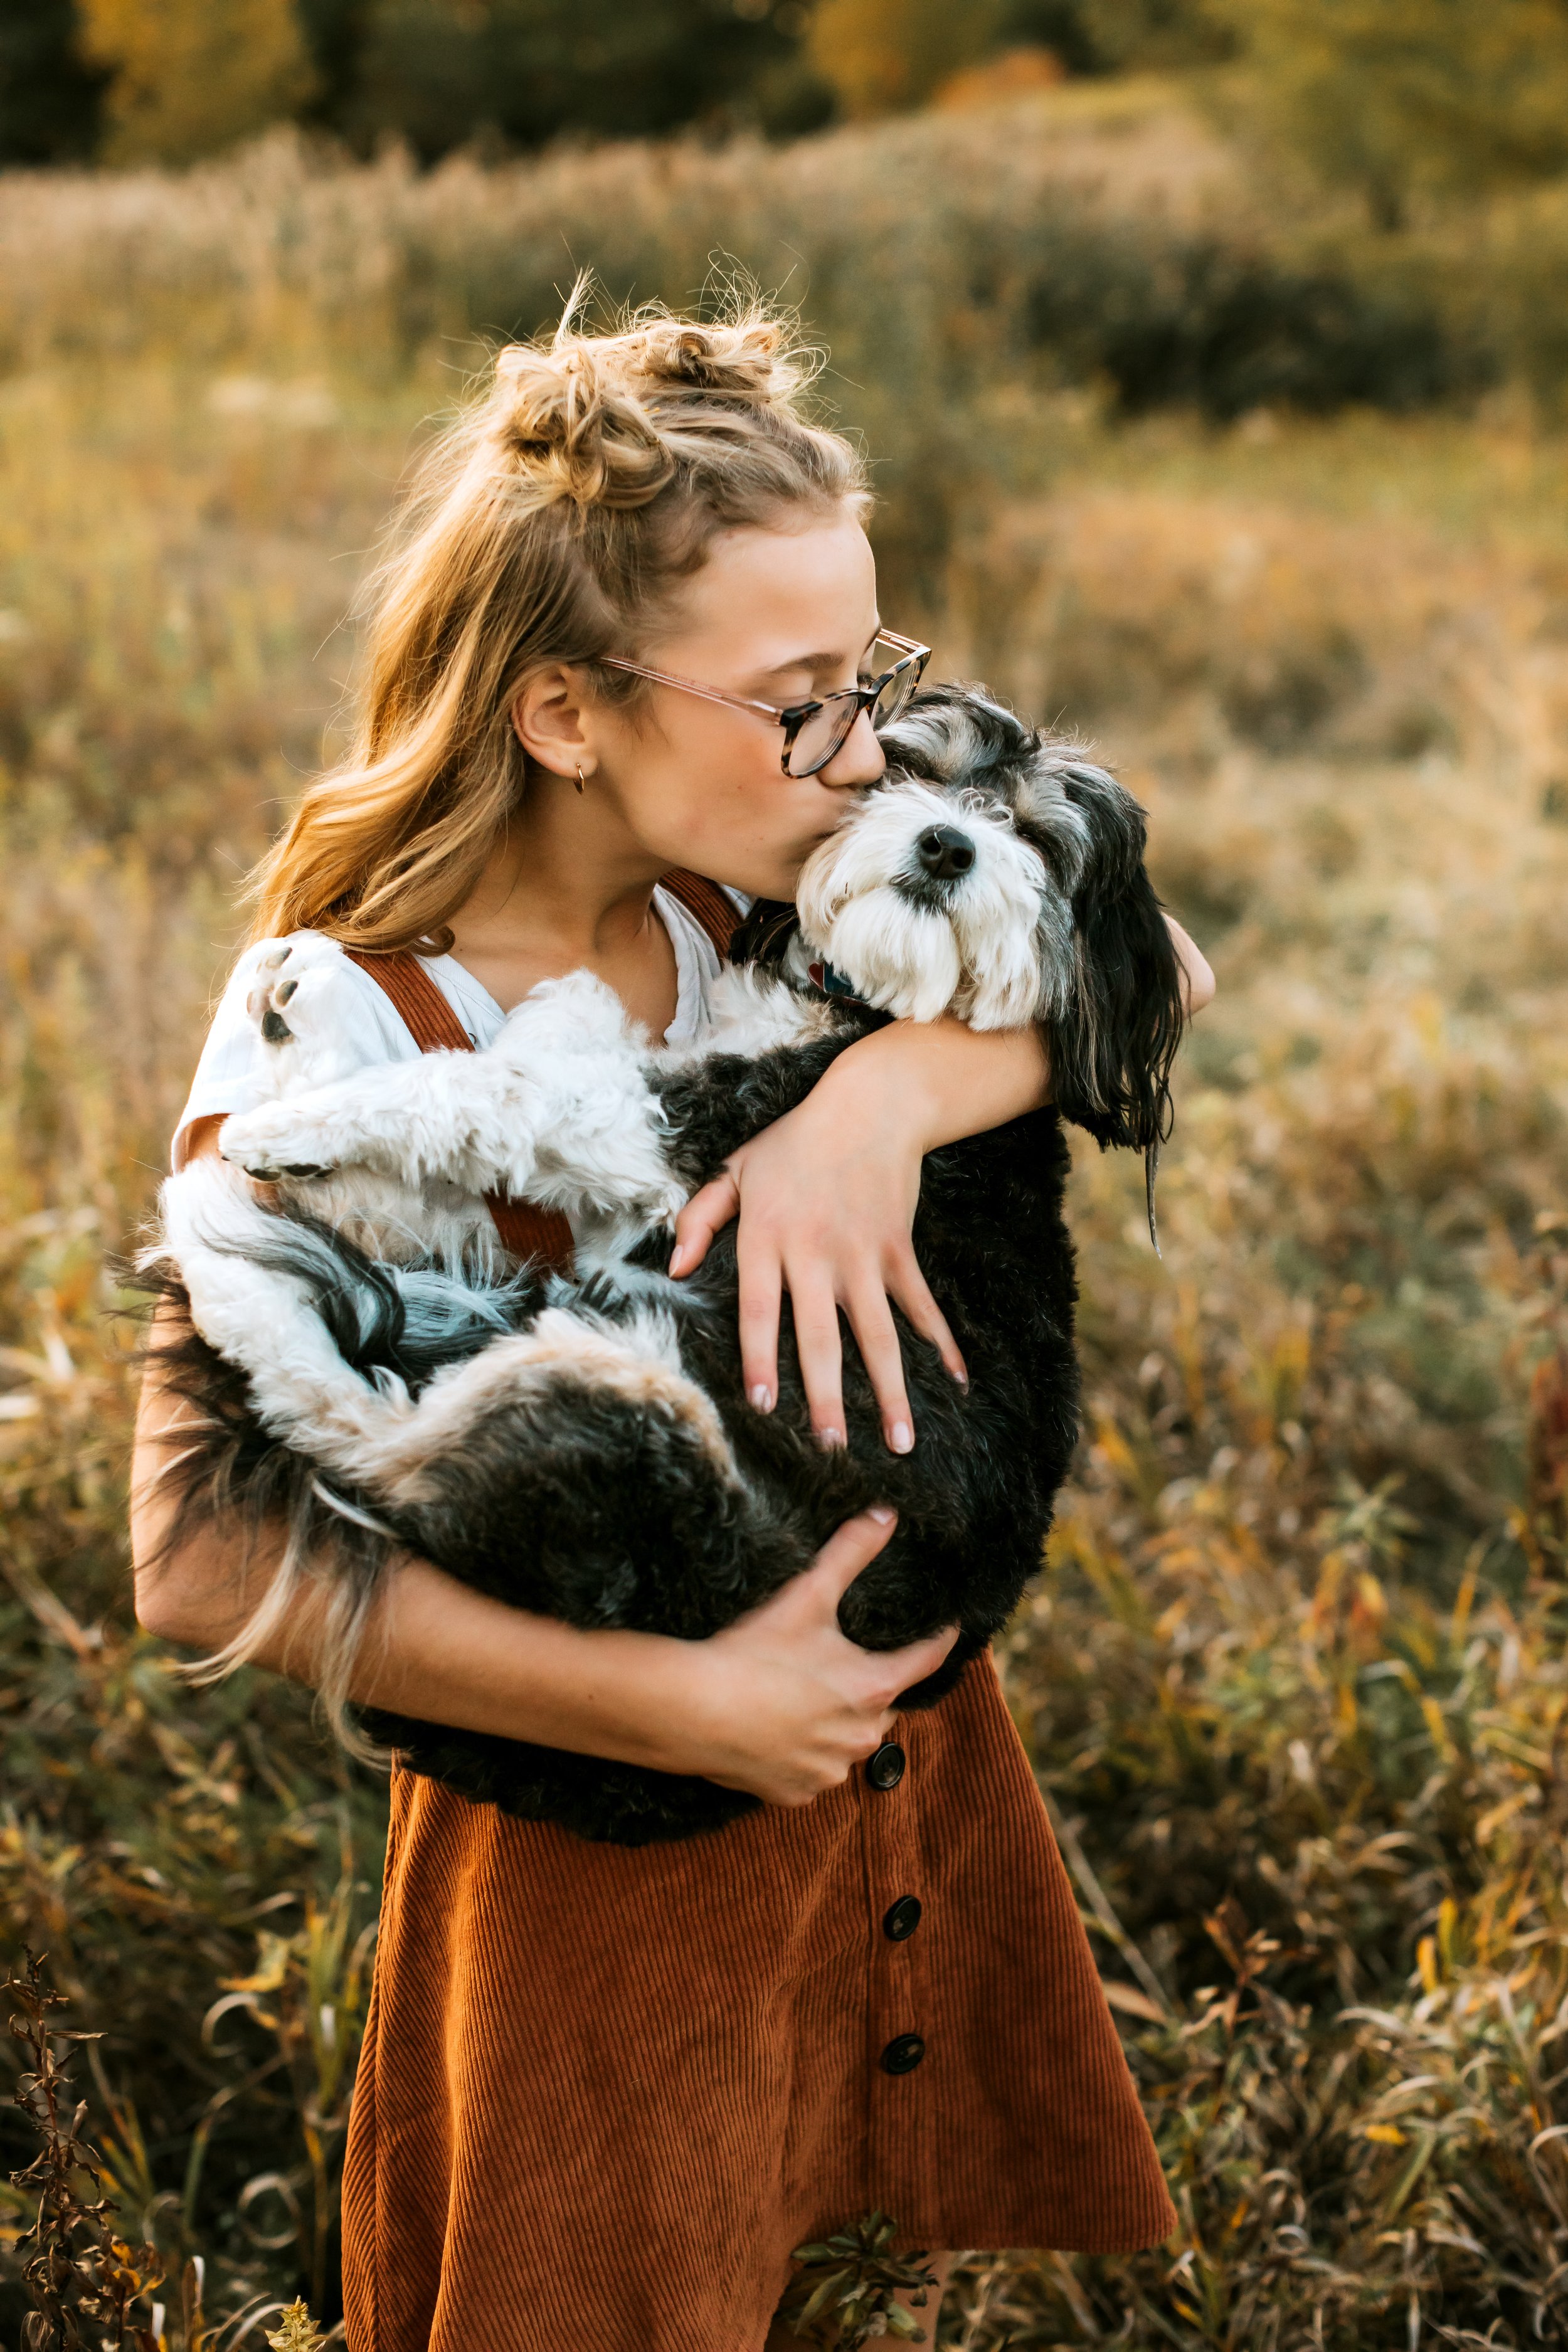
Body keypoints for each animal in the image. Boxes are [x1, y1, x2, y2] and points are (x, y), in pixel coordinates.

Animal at [150, 687, 1189, 1844]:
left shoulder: (669, 1125)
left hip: (643, 1427)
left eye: (1041, 841)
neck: (865, 1006)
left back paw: (230, 1220)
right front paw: (306, 1044)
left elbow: (483, 1086)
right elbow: (487, 1109)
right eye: (914, 771)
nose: (947, 845)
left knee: (354, 1423)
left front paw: (293, 1119)